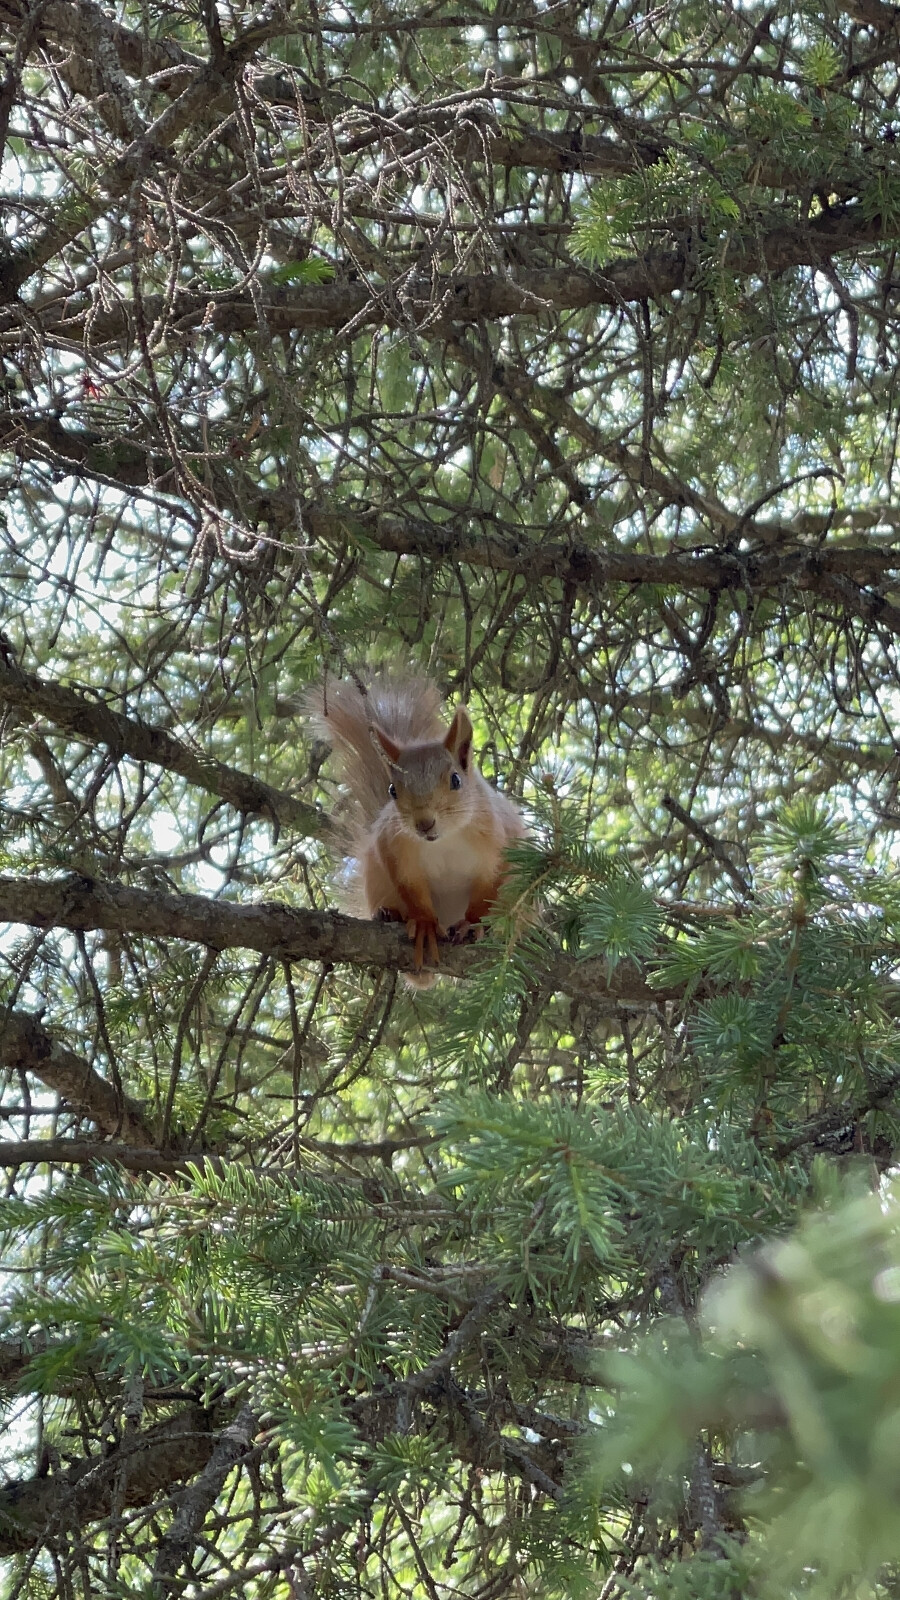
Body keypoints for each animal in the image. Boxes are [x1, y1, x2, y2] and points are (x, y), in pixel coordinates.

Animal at [305, 668, 525, 979]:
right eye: (392, 790)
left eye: (456, 780)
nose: (424, 823)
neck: (445, 840)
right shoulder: (393, 846)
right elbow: (412, 889)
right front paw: (423, 923)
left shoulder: (499, 844)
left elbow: (487, 893)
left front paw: (473, 923)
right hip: (376, 879)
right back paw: (390, 914)